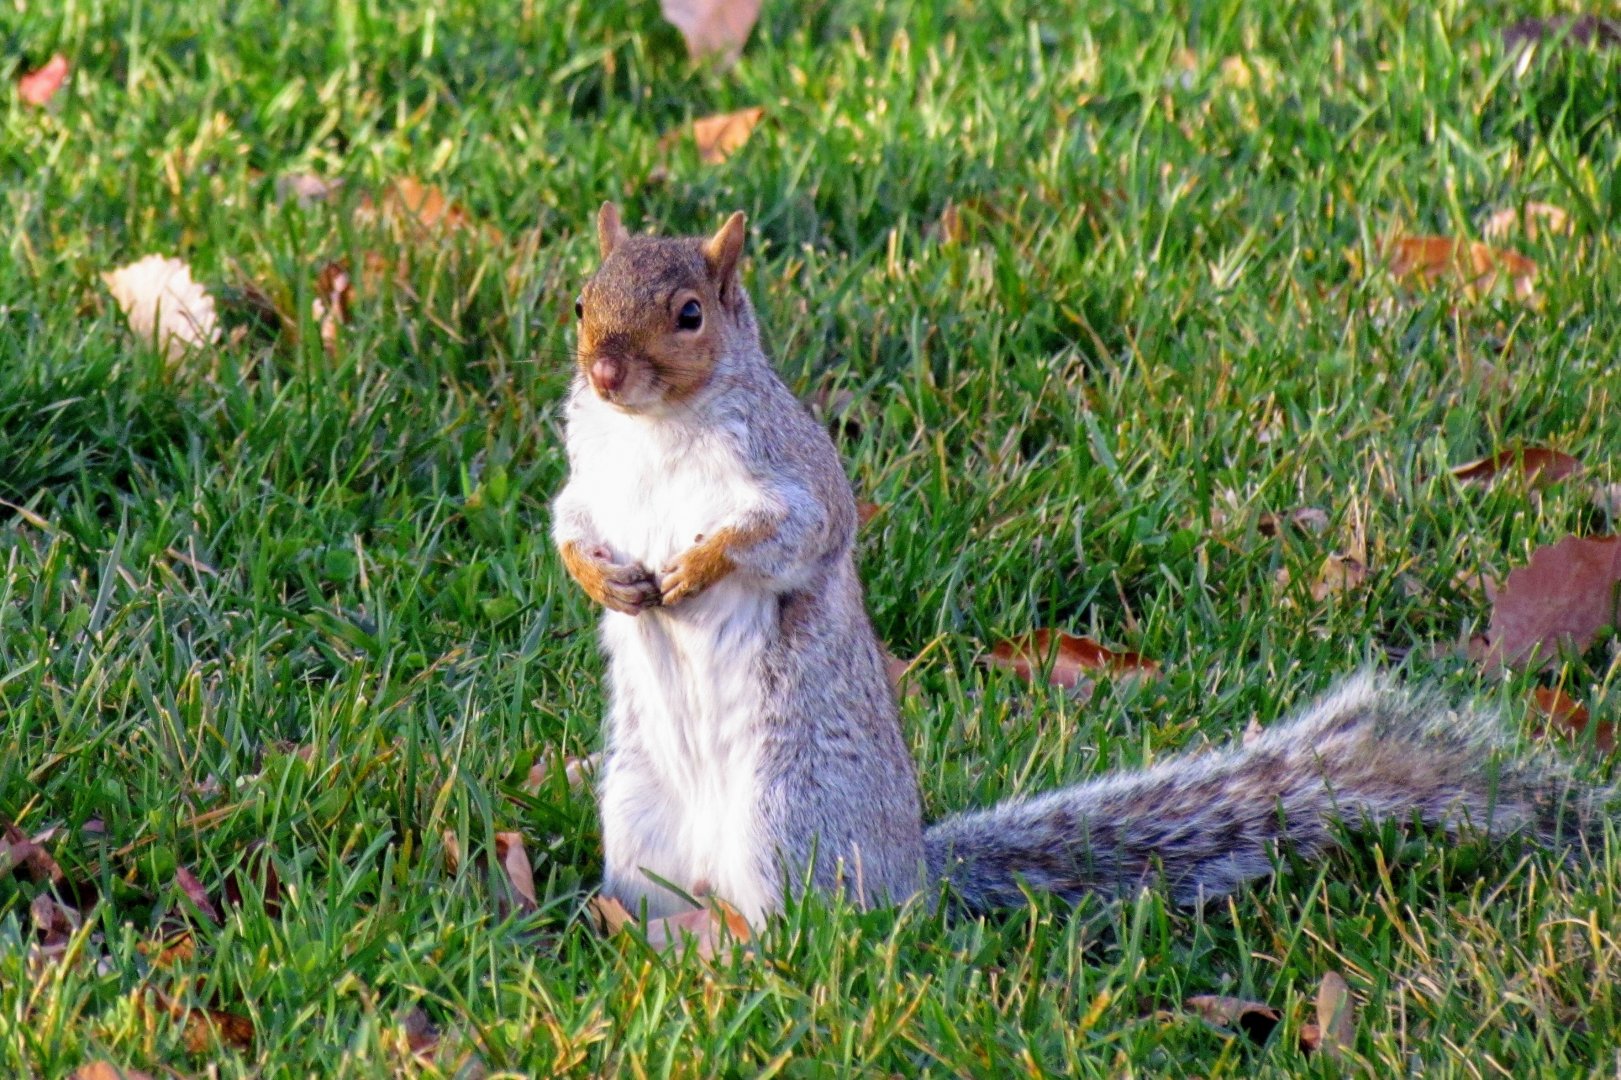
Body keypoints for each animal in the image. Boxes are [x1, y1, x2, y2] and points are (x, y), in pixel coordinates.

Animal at [551, 204, 1612, 926]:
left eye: (690, 314)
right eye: (579, 301)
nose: (603, 372)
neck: (654, 429)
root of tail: (914, 878)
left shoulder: (794, 477)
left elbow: (791, 536)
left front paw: (695, 569)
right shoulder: (589, 473)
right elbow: (570, 522)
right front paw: (602, 578)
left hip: (790, 815)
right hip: (636, 819)